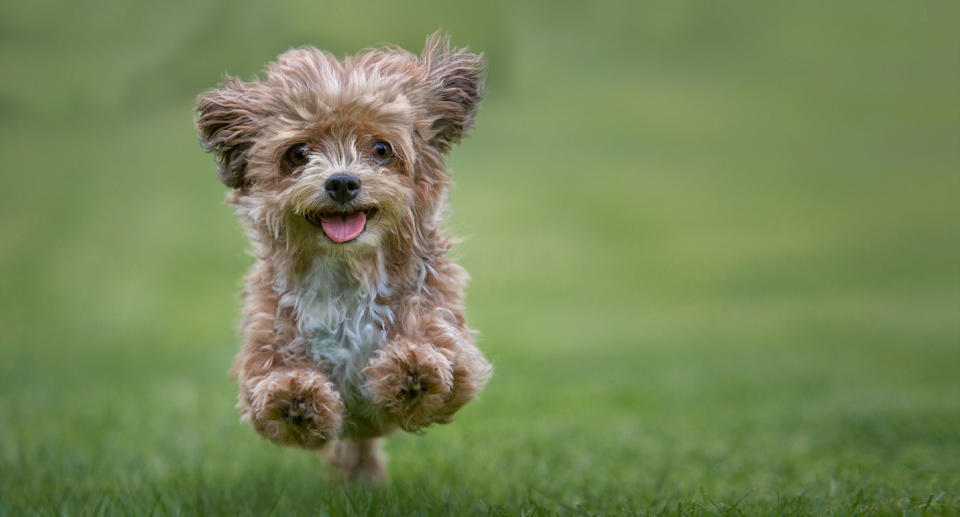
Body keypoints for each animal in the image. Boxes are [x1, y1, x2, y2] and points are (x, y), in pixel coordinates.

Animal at [196, 34, 496, 482]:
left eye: (381, 148)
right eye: (298, 152)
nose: (341, 182)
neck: (346, 272)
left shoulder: (452, 342)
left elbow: (437, 355)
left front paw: (412, 370)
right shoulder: (265, 349)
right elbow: (271, 388)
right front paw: (296, 398)